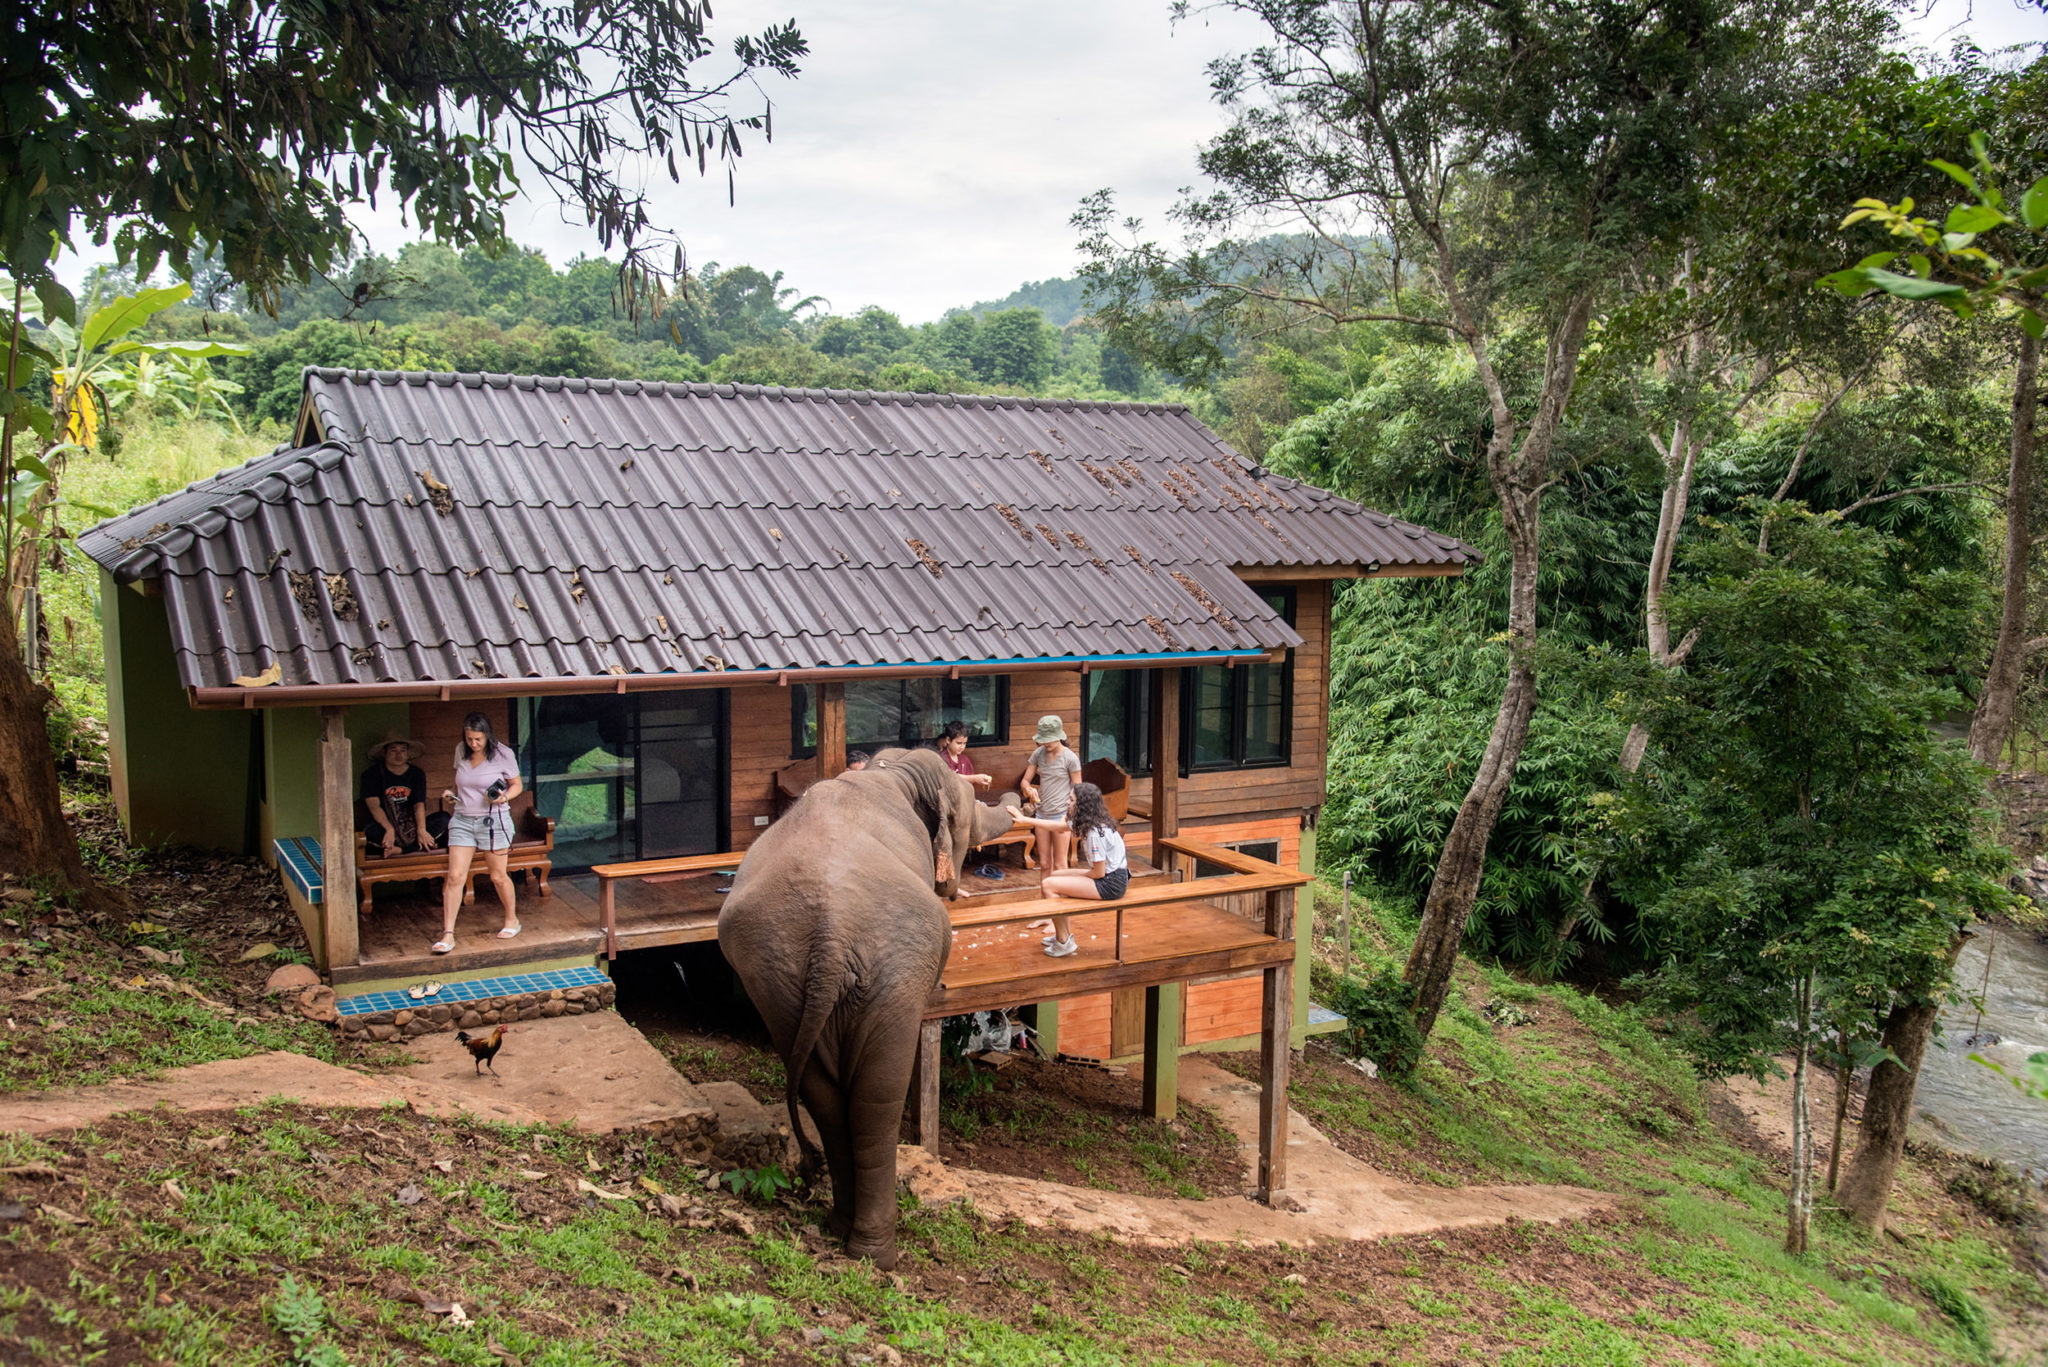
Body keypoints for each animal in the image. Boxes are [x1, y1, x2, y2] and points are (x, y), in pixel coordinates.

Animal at [716, 750, 1019, 1262]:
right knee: (878, 1098)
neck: (894, 771)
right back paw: (876, 1253)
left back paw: (840, 1226)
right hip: (892, 971)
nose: (1019, 797)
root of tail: (831, 935)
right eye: (966, 810)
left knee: (823, 1097)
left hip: (777, 977)